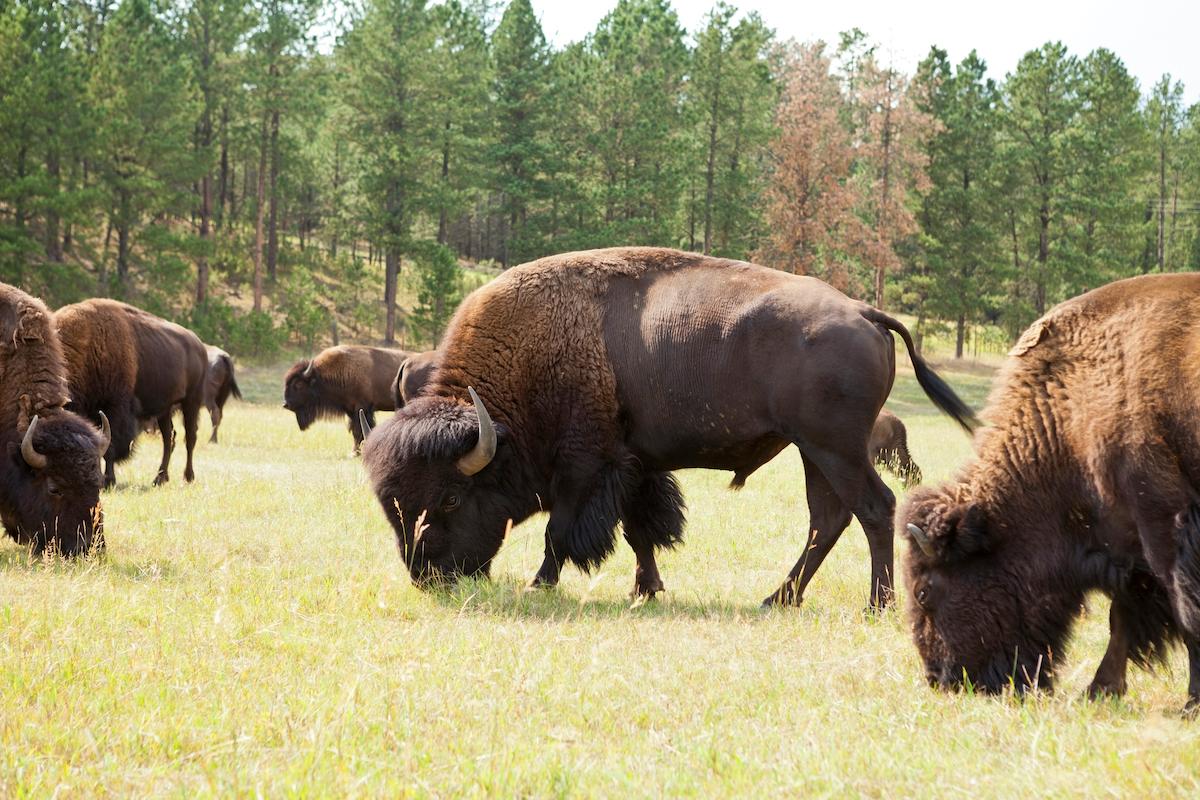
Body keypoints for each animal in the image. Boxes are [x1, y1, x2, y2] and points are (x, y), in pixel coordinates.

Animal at [56, 299, 207, 489]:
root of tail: (199, 346)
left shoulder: (114, 408)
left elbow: (110, 445)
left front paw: (108, 480)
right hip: (165, 409)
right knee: (169, 438)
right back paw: (159, 478)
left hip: (192, 402)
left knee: (190, 438)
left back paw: (187, 477)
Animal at [282, 345, 410, 453]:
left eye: (298, 384)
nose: (286, 404)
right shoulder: (350, 410)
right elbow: (354, 430)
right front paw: (355, 451)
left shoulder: (362, 408)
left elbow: (359, 429)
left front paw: (357, 452)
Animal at [362, 247, 974, 609]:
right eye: (393, 506)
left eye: (450, 499)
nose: (426, 575)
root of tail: (866, 313)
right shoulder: (635, 465)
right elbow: (640, 530)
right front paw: (647, 589)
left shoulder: (585, 465)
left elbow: (561, 530)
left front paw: (542, 583)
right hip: (813, 451)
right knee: (828, 519)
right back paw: (778, 598)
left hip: (834, 448)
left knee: (873, 507)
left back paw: (876, 603)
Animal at [902, 273, 1200, 705]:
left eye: (924, 591)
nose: (939, 678)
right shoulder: (1126, 543)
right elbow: (1122, 618)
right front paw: (1099, 691)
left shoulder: (1164, 523)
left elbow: (1184, 611)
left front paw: (1190, 704)